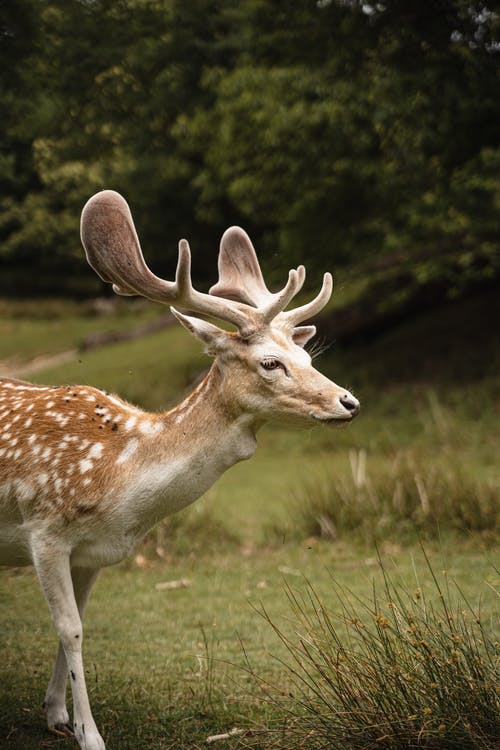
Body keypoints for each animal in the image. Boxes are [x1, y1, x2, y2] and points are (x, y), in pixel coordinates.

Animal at [0, 192, 360, 750]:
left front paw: (57, 715)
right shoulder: (45, 532)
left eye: (306, 355)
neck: (117, 483)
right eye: (270, 362)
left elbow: (77, 621)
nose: (348, 401)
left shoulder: (90, 552)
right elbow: (70, 628)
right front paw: (91, 735)